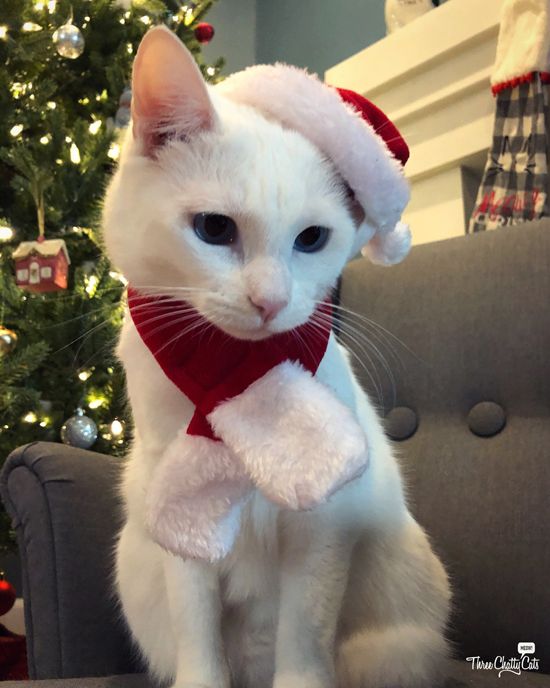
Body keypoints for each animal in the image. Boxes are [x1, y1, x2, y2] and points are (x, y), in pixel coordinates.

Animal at [104, 25, 452, 688]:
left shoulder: (322, 531)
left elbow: (303, 635)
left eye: (312, 239)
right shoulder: (175, 519)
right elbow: (197, 635)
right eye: (214, 229)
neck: (234, 379)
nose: (270, 302)